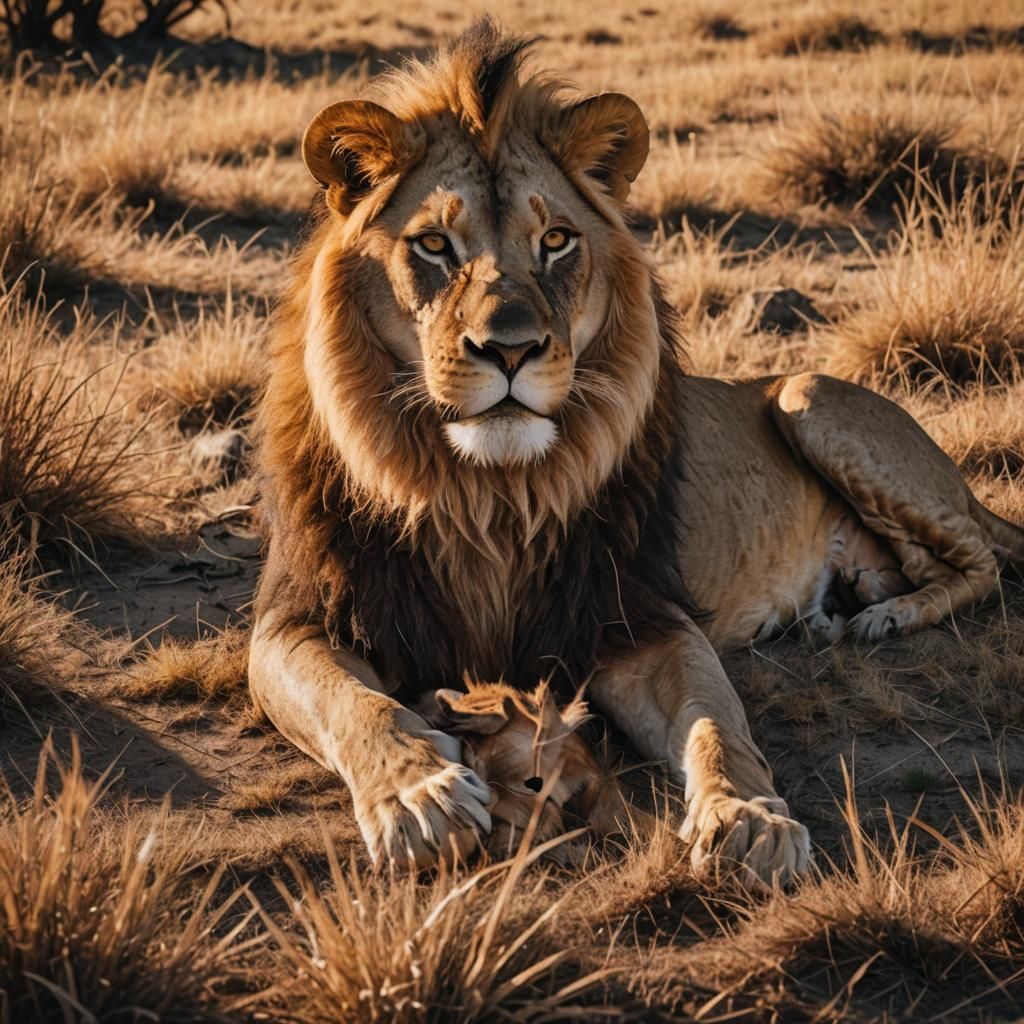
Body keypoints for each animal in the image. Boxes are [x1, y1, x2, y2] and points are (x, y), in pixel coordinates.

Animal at [249, 20, 1024, 889]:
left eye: (556, 241)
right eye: (434, 245)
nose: (510, 349)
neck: (486, 492)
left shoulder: (638, 616)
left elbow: (717, 725)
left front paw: (749, 820)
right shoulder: (294, 621)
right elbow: (356, 705)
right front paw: (421, 796)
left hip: (807, 395)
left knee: (980, 566)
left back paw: (885, 619)